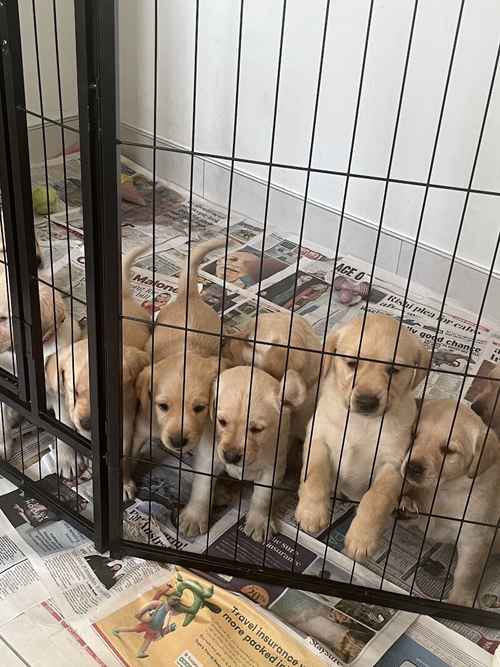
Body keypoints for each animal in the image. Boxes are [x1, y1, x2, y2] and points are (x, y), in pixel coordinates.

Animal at [178, 366, 306, 544]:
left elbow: (263, 497)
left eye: (257, 429)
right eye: (221, 421)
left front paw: (259, 522)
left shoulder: (272, 468)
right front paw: (194, 518)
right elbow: (202, 488)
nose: (231, 456)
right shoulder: (207, 457)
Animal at [294, 312, 428, 560]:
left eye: (394, 370)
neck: (362, 422)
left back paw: (407, 504)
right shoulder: (318, 438)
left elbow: (376, 498)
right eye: (351, 363)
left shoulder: (393, 464)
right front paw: (311, 512)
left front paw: (362, 538)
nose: (367, 401)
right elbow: (315, 474)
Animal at [400, 400, 500, 608]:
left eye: (448, 451)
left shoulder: (475, 537)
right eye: (414, 435)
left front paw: (461, 599)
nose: (412, 467)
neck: (445, 488)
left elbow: (467, 573)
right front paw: (407, 501)